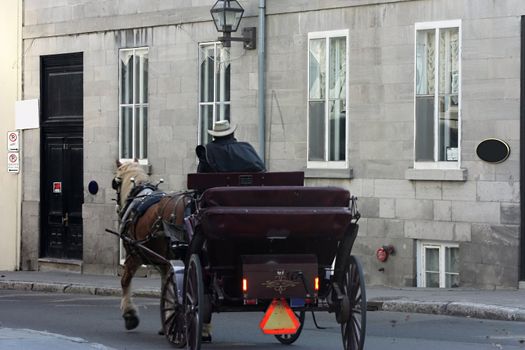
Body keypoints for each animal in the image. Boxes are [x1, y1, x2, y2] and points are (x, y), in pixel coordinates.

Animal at [112, 161, 192, 330]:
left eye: (115, 183)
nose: (118, 209)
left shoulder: (134, 255)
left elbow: (125, 281)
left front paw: (129, 315)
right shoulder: (164, 263)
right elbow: (166, 290)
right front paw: (167, 321)